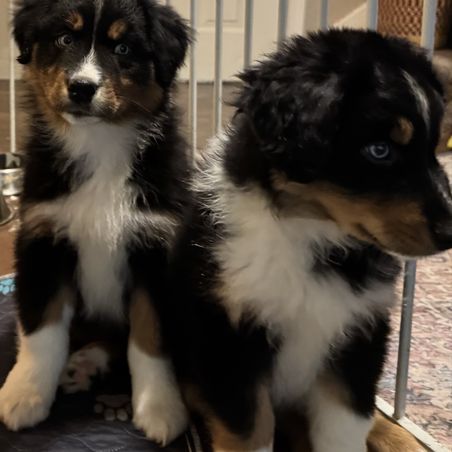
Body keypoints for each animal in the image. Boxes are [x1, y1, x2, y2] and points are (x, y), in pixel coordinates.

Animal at [0, 0, 190, 445]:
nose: (81, 87)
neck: (100, 143)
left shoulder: (156, 247)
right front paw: (24, 395)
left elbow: (149, 338)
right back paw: (78, 365)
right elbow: (42, 329)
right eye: (64, 39)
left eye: (122, 49)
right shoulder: (43, 239)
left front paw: (160, 408)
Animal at [162, 30, 452, 452]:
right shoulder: (228, 336)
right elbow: (249, 431)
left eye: (433, 149)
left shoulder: (360, 333)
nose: (450, 233)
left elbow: (347, 424)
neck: (312, 234)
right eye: (379, 150)